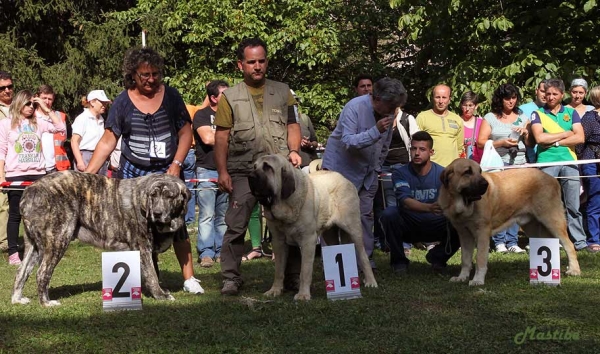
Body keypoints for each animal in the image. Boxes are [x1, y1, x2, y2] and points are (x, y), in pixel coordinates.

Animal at [11, 170, 190, 306]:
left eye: (169, 196)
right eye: (153, 196)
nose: (157, 213)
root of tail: (29, 191)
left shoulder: (151, 251)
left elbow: (154, 273)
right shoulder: (143, 248)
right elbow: (152, 275)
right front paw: (161, 295)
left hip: (33, 246)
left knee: (21, 271)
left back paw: (17, 299)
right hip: (58, 239)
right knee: (42, 273)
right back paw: (46, 303)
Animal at [247, 153, 378, 300]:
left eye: (267, 167)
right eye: (254, 167)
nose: (250, 176)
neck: (285, 205)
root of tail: (344, 179)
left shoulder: (308, 240)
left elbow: (305, 270)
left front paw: (303, 294)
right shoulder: (278, 241)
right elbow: (279, 270)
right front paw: (275, 290)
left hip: (354, 229)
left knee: (363, 256)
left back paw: (371, 281)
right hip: (330, 234)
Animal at [438, 159, 580, 286]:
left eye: (480, 171)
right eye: (467, 172)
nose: (485, 184)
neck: (462, 203)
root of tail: (553, 179)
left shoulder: (482, 232)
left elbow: (480, 259)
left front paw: (478, 280)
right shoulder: (464, 234)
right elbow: (465, 259)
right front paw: (461, 277)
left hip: (552, 220)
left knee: (569, 245)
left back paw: (574, 270)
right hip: (533, 226)